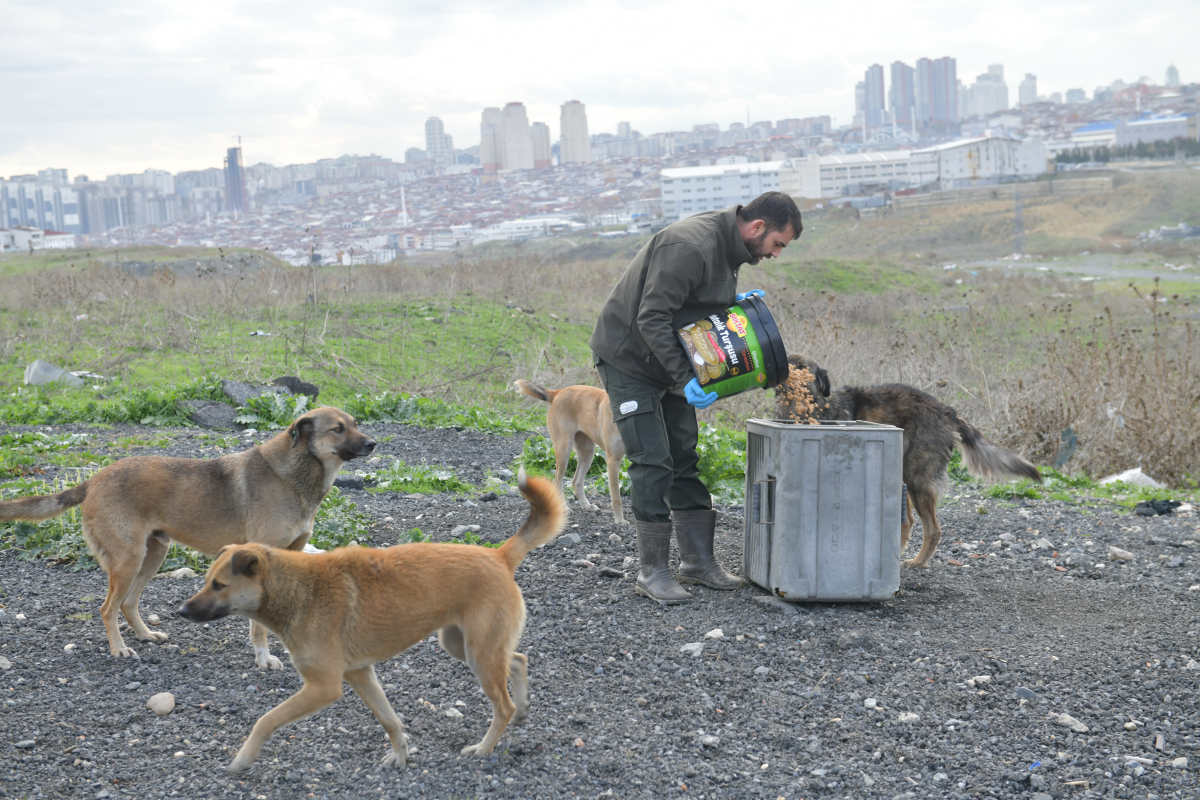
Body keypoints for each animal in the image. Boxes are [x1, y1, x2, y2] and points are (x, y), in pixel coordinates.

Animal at [0, 407, 374, 662]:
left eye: (355, 423)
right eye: (338, 429)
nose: (373, 443)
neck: (295, 476)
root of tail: (93, 481)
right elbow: (258, 625)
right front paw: (264, 658)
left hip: (153, 555)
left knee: (128, 603)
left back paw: (146, 635)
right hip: (128, 559)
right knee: (108, 608)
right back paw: (119, 649)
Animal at [177, 472, 566, 772]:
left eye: (219, 585)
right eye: (206, 580)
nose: (181, 611)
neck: (299, 590)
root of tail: (499, 556)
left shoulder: (323, 686)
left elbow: (266, 719)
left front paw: (243, 759)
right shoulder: (360, 673)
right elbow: (389, 720)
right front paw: (401, 756)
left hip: (478, 653)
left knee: (502, 704)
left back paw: (485, 747)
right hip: (463, 645)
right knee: (517, 660)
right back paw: (522, 710)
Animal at [513, 381, 628, 525]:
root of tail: (558, 393)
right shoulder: (613, 460)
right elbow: (616, 497)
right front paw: (620, 520)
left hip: (587, 453)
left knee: (576, 481)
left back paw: (586, 505)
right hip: (564, 450)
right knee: (557, 482)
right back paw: (565, 508)